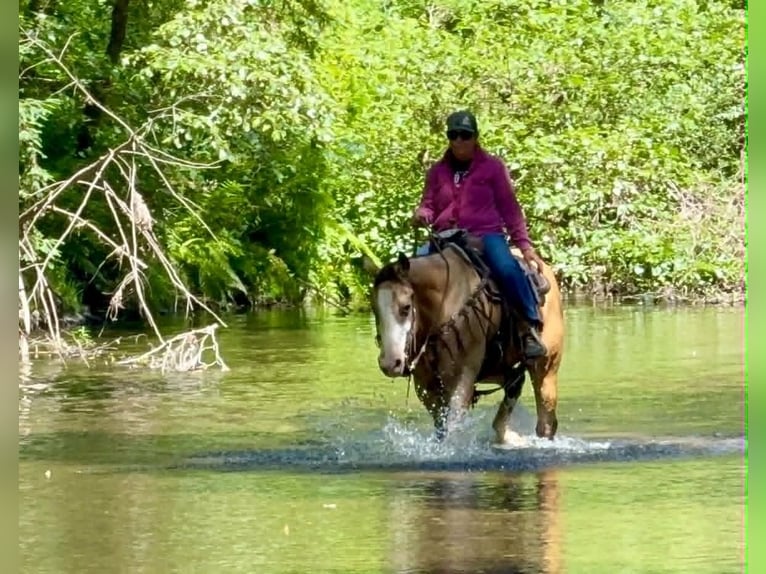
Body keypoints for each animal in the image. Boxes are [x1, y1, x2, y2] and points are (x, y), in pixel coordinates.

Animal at [367, 231, 565, 444]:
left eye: (405, 308)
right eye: (374, 308)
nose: (389, 363)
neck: (444, 304)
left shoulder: (462, 378)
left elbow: (452, 427)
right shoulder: (426, 386)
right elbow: (441, 428)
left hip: (546, 368)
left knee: (546, 421)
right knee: (514, 384)